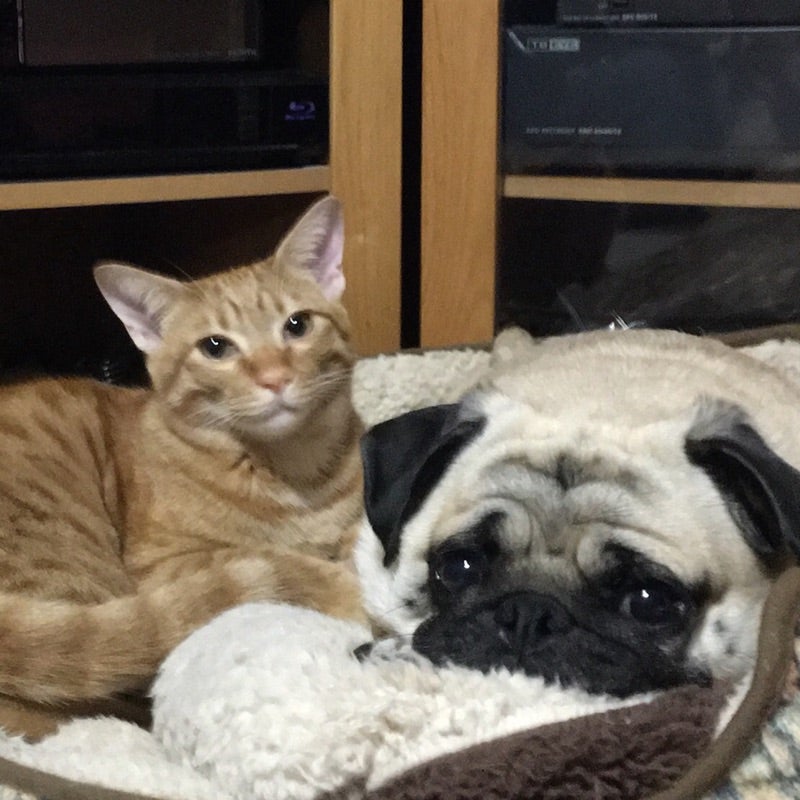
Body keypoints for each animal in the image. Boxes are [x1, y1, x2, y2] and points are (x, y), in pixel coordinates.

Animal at [0, 195, 365, 740]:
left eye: (297, 325)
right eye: (215, 347)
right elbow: (276, 557)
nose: (274, 378)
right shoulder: (163, 566)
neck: (292, 469)